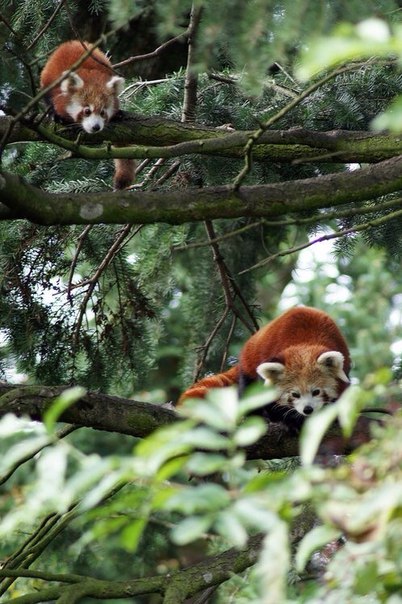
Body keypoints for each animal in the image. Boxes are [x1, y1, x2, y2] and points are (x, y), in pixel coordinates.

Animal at [40, 40, 136, 190]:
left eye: (102, 112)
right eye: (87, 111)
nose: (96, 127)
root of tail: (71, 42)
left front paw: (118, 114)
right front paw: (56, 116)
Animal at [179, 310, 352, 432]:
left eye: (316, 392)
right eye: (294, 394)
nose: (307, 409)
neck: (305, 342)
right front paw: (288, 421)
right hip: (249, 364)